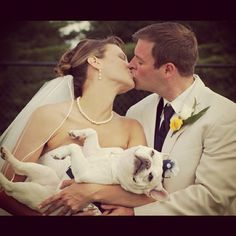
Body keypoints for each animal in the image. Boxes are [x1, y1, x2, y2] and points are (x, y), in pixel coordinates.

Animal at [0, 128, 179, 215]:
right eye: (152, 152)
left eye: (150, 177)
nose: (147, 163)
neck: (116, 164)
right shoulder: (92, 151)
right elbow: (92, 133)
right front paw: (76, 134)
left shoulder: (83, 172)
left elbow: (73, 148)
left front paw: (62, 152)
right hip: (42, 172)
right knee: (20, 167)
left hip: (35, 190)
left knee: (11, 185)